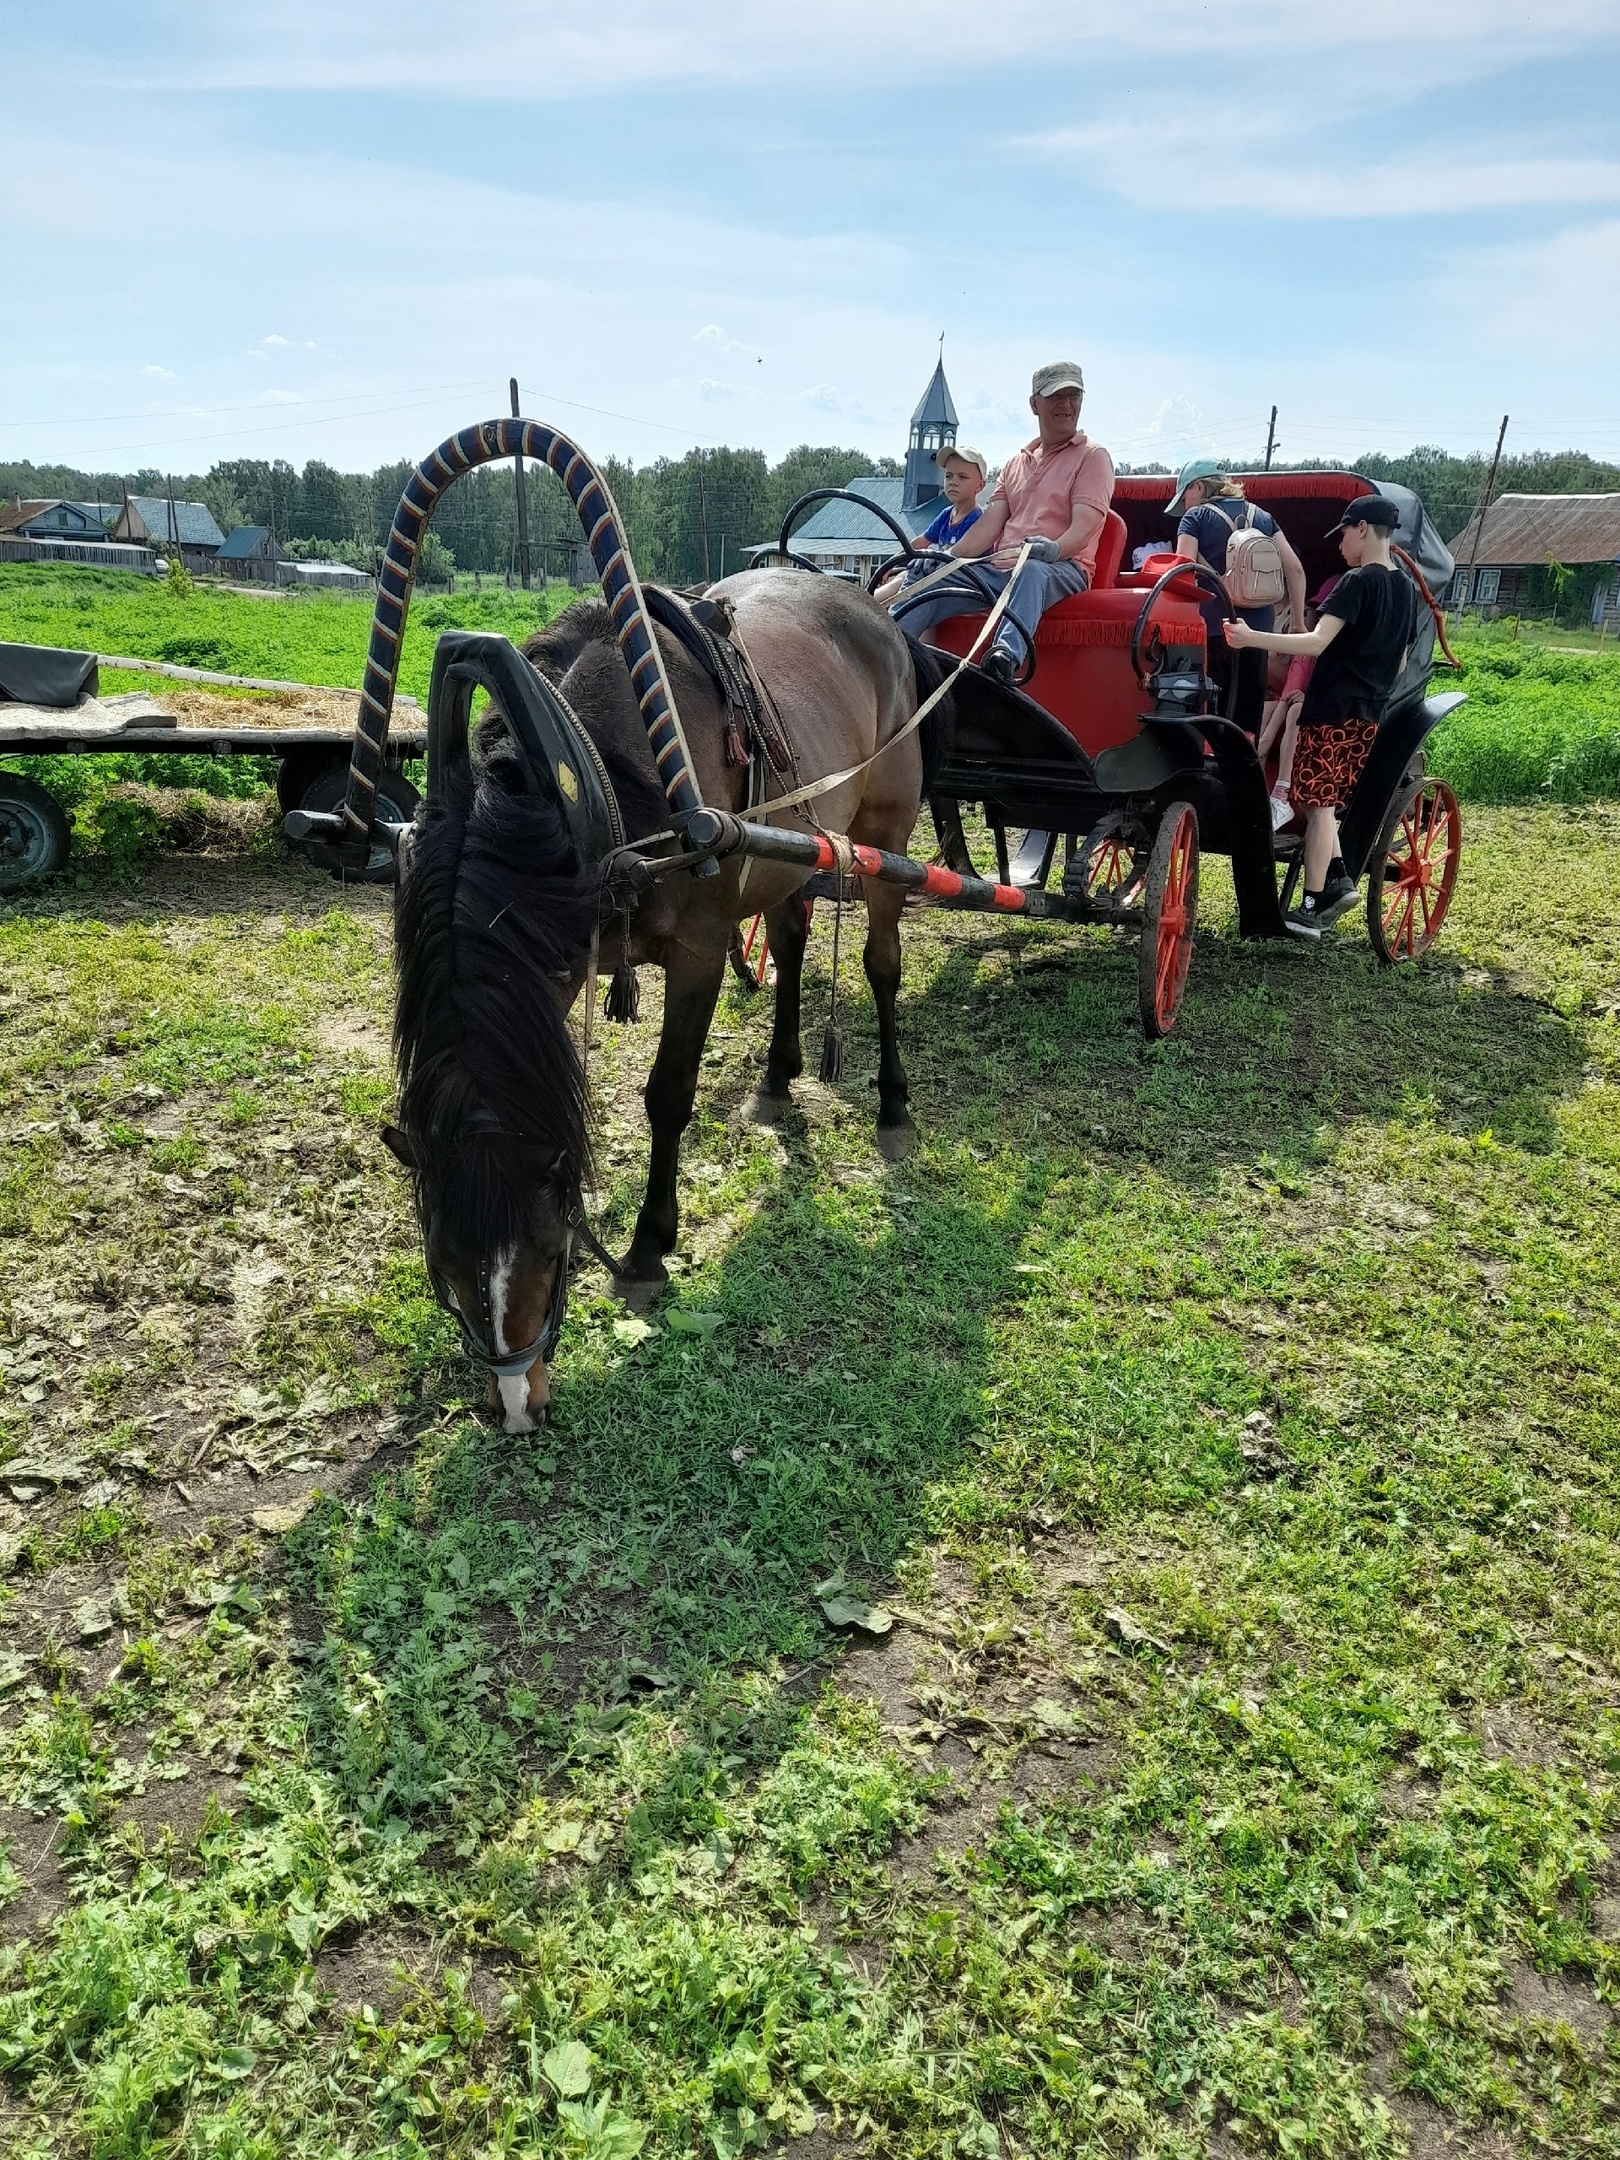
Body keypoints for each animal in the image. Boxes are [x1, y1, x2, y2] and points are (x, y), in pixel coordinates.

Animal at [384, 570, 950, 1434]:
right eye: (444, 1267)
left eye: (550, 1248)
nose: (517, 1406)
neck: (593, 782)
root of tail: (873, 610)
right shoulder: (563, 957)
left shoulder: (699, 950)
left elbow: (668, 1096)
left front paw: (650, 1245)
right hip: (787, 854)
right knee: (790, 942)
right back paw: (777, 1076)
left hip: (886, 837)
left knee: (882, 966)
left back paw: (891, 1103)